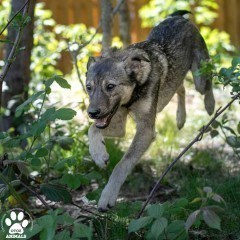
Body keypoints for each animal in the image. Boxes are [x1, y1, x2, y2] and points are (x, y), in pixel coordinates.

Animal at [85, 10, 215, 212]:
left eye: (110, 86)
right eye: (89, 87)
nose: (91, 113)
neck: (134, 92)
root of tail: (177, 17)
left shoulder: (146, 130)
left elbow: (122, 164)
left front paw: (107, 196)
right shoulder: (119, 125)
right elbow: (92, 130)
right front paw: (99, 155)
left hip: (199, 77)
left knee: (208, 82)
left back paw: (210, 105)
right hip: (171, 87)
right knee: (181, 88)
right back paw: (181, 118)